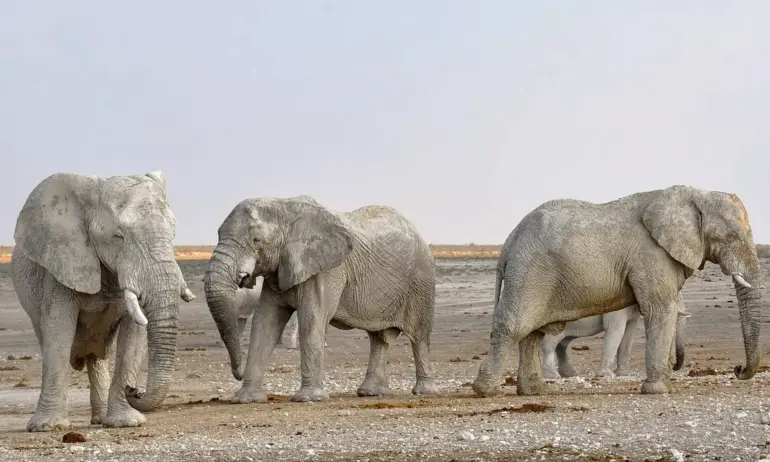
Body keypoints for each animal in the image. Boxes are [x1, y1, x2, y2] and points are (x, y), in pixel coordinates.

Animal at [10, 171, 194, 432]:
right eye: (119, 237)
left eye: (173, 235)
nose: (135, 390)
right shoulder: (62, 264)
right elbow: (58, 332)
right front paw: (47, 427)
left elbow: (133, 338)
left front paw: (126, 422)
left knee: (95, 358)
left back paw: (100, 419)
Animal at [202, 195, 438, 404]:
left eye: (256, 240)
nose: (238, 373)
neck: (285, 207)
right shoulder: (279, 269)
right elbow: (265, 322)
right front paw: (246, 399)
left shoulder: (327, 270)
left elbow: (311, 318)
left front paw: (309, 398)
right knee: (378, 338)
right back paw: (371, 393)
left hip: (421, 282)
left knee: (418, 336)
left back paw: (423, 391)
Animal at [540, 304, 688, 378]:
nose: (674, 367)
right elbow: (616, 329)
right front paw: (607, 375)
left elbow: (629, 332)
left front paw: (622, 374)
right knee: (550, 343)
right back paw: (553, 376)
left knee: (562, 344)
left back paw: (569, 375)